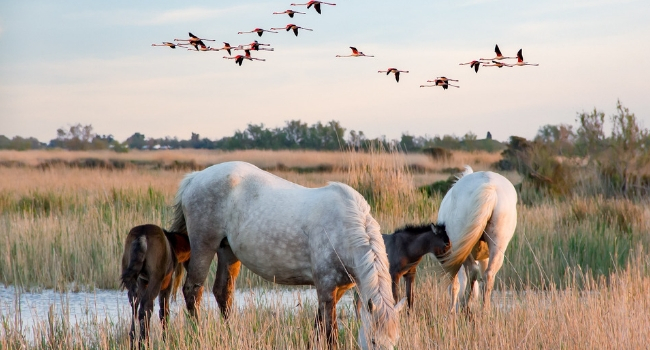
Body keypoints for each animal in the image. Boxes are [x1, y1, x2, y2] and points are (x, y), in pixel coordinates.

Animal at [170, 162, 402, 350]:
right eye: (373, 340)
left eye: (393, 342)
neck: (345, 228)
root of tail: (195, 178)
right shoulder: (326, 288)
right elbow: (329, 333)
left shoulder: (338, 289)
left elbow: (318, 326)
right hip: (204, 245)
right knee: (193, 291)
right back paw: (198, 335)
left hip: (227, 251)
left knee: (222, 292)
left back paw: (231, 334)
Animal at [436, 167, 516, 312]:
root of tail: (490, 187)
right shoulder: (484, 257)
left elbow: (454, 285)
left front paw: (451, 310)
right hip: (498, 246)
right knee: (488, 275)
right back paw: (485, 310)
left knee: (472, 270)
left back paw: (465, 305)